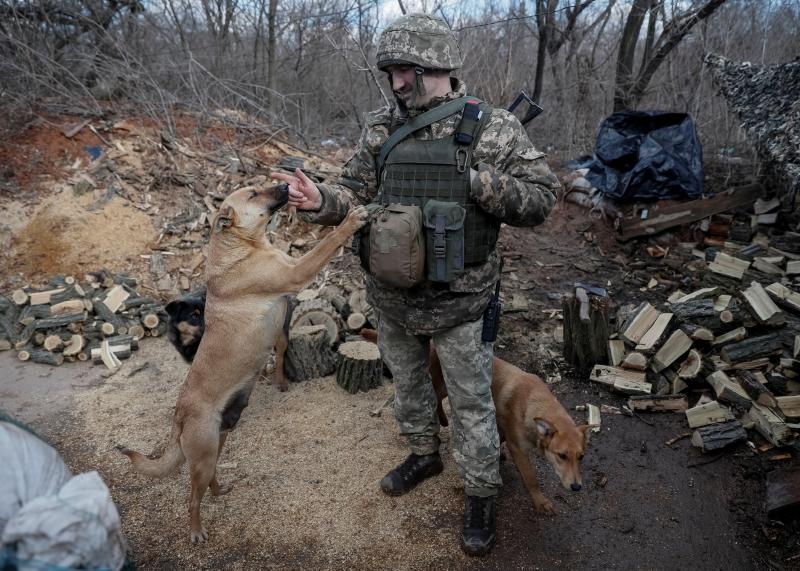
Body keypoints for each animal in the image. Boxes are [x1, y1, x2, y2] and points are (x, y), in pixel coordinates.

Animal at [119, 185, 368, 544]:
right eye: (253, 193)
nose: (286, 186)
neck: (242, 247)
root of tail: (179, 415)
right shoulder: (297, 271)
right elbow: (327, 242)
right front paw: (350, 222)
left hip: (219, 441)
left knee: (208, 479)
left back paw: (219, 491)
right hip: (203, 454)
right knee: (192, 498)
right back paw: (196, 531)